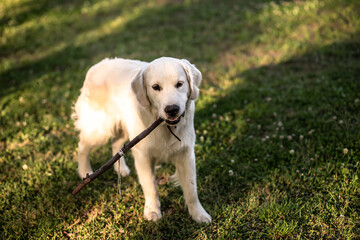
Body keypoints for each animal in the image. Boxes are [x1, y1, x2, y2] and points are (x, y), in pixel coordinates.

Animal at [74, 56, 211, 223]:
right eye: (156, 87)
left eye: (179, 84)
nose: (172, 109)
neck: (165, 127)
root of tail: (96, 66)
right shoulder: (143, 155)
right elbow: (151, 186)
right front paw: (152, 212)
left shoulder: (186, 154)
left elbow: (191, 189)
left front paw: (199, 214)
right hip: (100, 129)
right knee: (82, 146)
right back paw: (85, 172)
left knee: (116, 145)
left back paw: (122, 169)